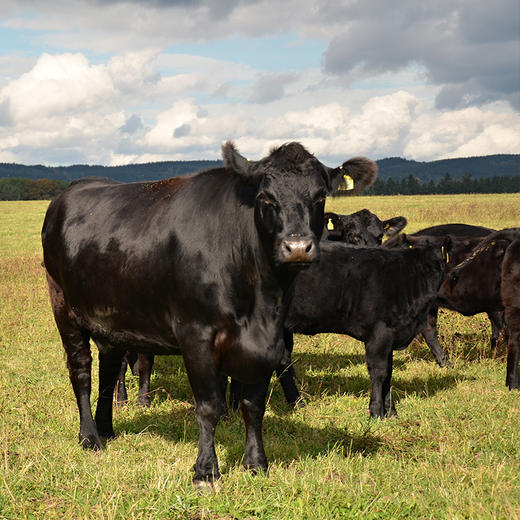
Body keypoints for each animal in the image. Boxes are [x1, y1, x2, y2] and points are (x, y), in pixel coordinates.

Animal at [40, 139, 376, 484]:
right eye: (265, 196)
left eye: (319, 196)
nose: (297, 248)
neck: (260, 300)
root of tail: (73, 190)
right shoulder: (196, 336)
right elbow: (208, 406)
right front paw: (206, 469)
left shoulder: (268, 342)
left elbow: (253, 405)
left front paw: (257, 463)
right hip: (64, 308)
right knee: (81, 371)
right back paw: (89, 437)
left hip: (111, 319)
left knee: (108, 369)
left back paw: (106, 428)